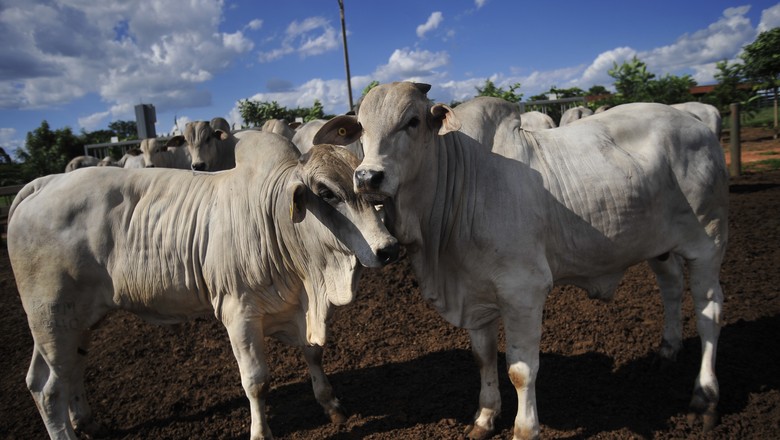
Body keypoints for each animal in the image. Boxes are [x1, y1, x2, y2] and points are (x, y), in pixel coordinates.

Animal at [4, 131, 396, 440]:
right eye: (327, 194)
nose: (388, 248)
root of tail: (43, 183)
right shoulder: (238, 312)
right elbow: (256, 380)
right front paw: (260, 432)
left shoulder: (298, 307)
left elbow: (313, 353)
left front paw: (331, 405)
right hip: (51, 317)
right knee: (48, 389)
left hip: (74, 320)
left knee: (63, 371)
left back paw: (87, 422)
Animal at [314, 81, 728, 440]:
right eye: (360, 128)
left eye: (412, 121)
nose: (367, 176)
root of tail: (696, 123)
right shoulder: (475, 294)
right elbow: (483, 357)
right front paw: (484, 417)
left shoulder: (524, 292)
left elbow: (521, 370)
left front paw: (524, 429)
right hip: (658, 245)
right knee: (671, 286)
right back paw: (668, 350)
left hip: (708, 239)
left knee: (709, 313)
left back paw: (705, 398)